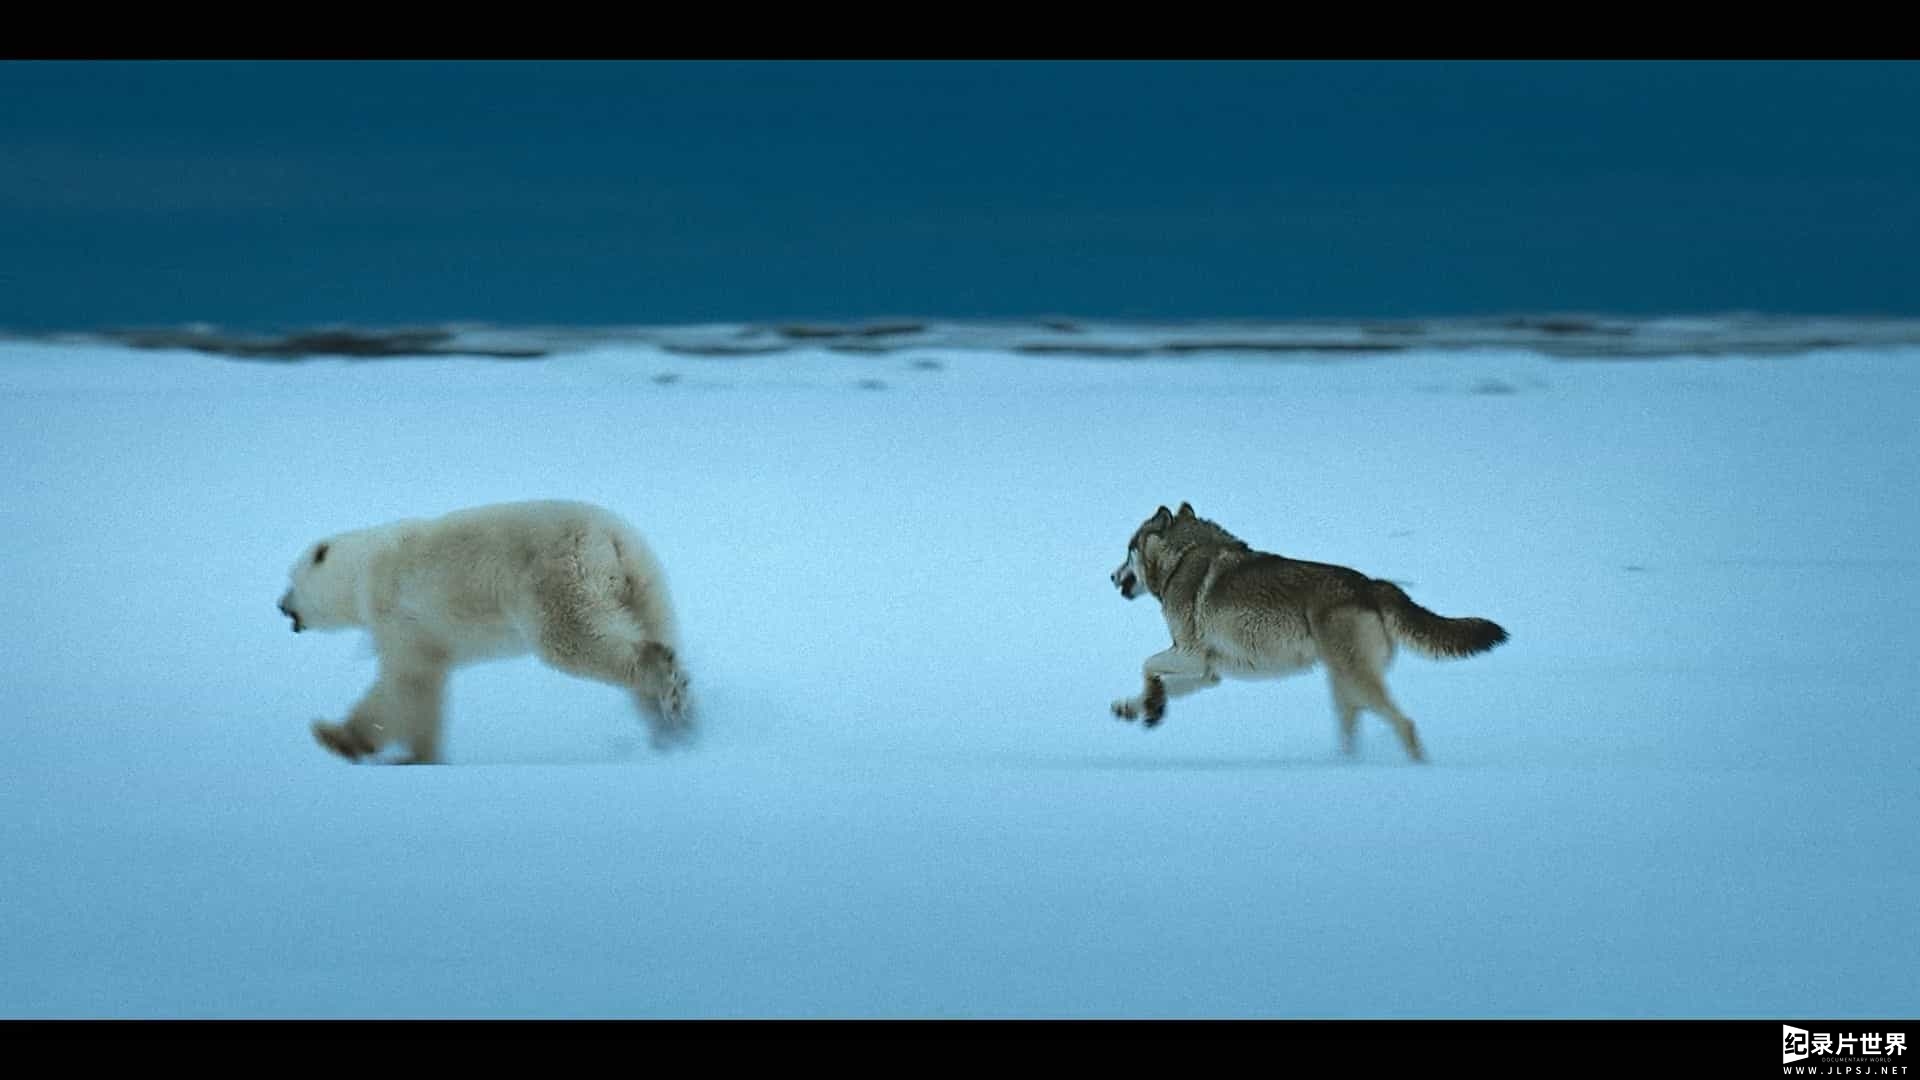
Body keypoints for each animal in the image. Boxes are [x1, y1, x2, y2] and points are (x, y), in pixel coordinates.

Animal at [270, 499, 691, 760]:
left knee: (573, 638)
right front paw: (344, 738)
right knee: (656, 625)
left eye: (291, 578)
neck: (364, 567)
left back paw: (663, 682)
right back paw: (675, 718)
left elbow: (407, 684)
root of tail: (611, 539)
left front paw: (387, 751)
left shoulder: (399, 612)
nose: (280, 604)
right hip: (643, 581)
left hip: (557, 579)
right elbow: (409, 686)